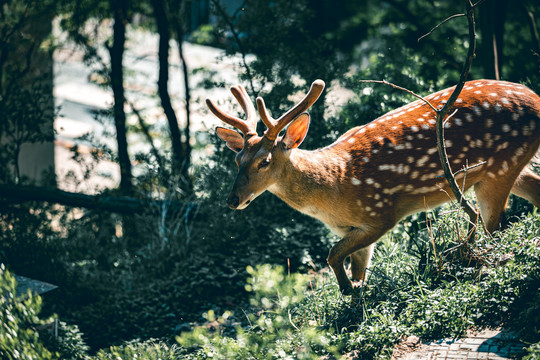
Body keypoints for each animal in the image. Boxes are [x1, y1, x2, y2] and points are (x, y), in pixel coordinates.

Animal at [206, 80, 540, 294]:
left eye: (264, 161)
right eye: (237, 158)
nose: (233, 199)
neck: (335, 187)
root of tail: (536, 98)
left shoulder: (380, 213)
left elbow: (331, 254)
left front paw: (347, 289)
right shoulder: (353, 228)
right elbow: (352, 263)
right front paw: (355, 291)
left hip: (499, 167)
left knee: (494, 228)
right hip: (509, 166)